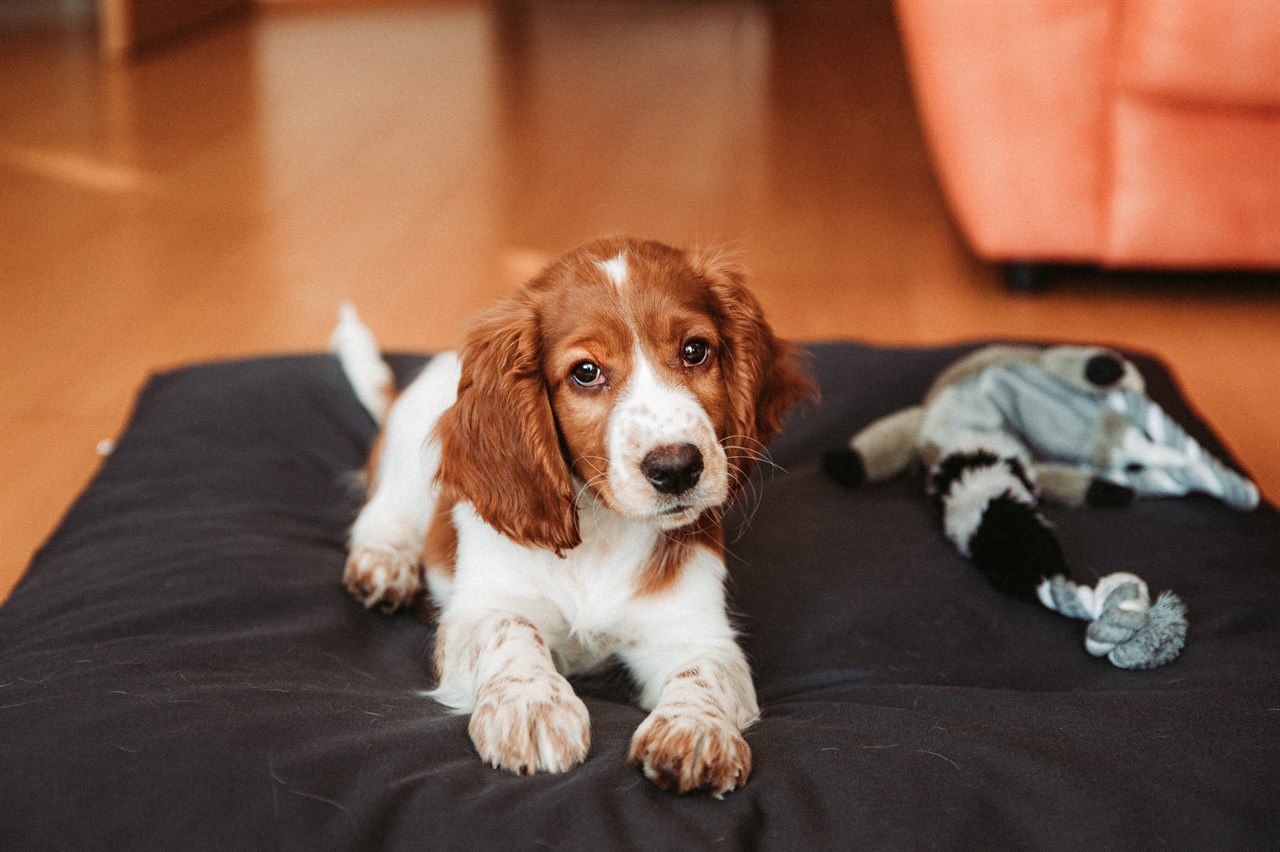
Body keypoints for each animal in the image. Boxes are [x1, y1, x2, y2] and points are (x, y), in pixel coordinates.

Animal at [330, 235, 808, 793]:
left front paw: (696, 730)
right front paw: (531, 707)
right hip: (410, 464)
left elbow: (705, 671)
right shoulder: (480, 608)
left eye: (695, 351)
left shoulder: (693, 628)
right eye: (586, 372)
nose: (677, 468)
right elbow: (511, 631)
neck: (603, 529)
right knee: (384, 513)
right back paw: (384, 564)